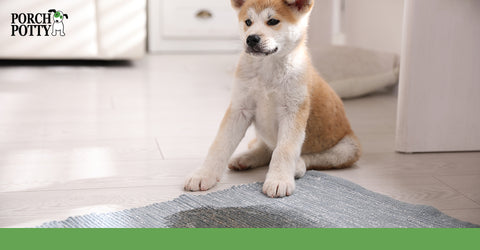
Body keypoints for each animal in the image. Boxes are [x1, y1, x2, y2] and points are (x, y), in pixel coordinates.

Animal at [184, 0, 360, 198]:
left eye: (273, 21)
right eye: (248, 22)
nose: (251, 39)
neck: (268, 70)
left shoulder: (292, 112)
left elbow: (284, 150)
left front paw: (279, 180)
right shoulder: (240, 109)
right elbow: (219, 145)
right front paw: (203, 174)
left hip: (347, 148)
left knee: (309, 157)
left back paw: (297, 166)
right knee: (265, 148)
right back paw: (246, 158)